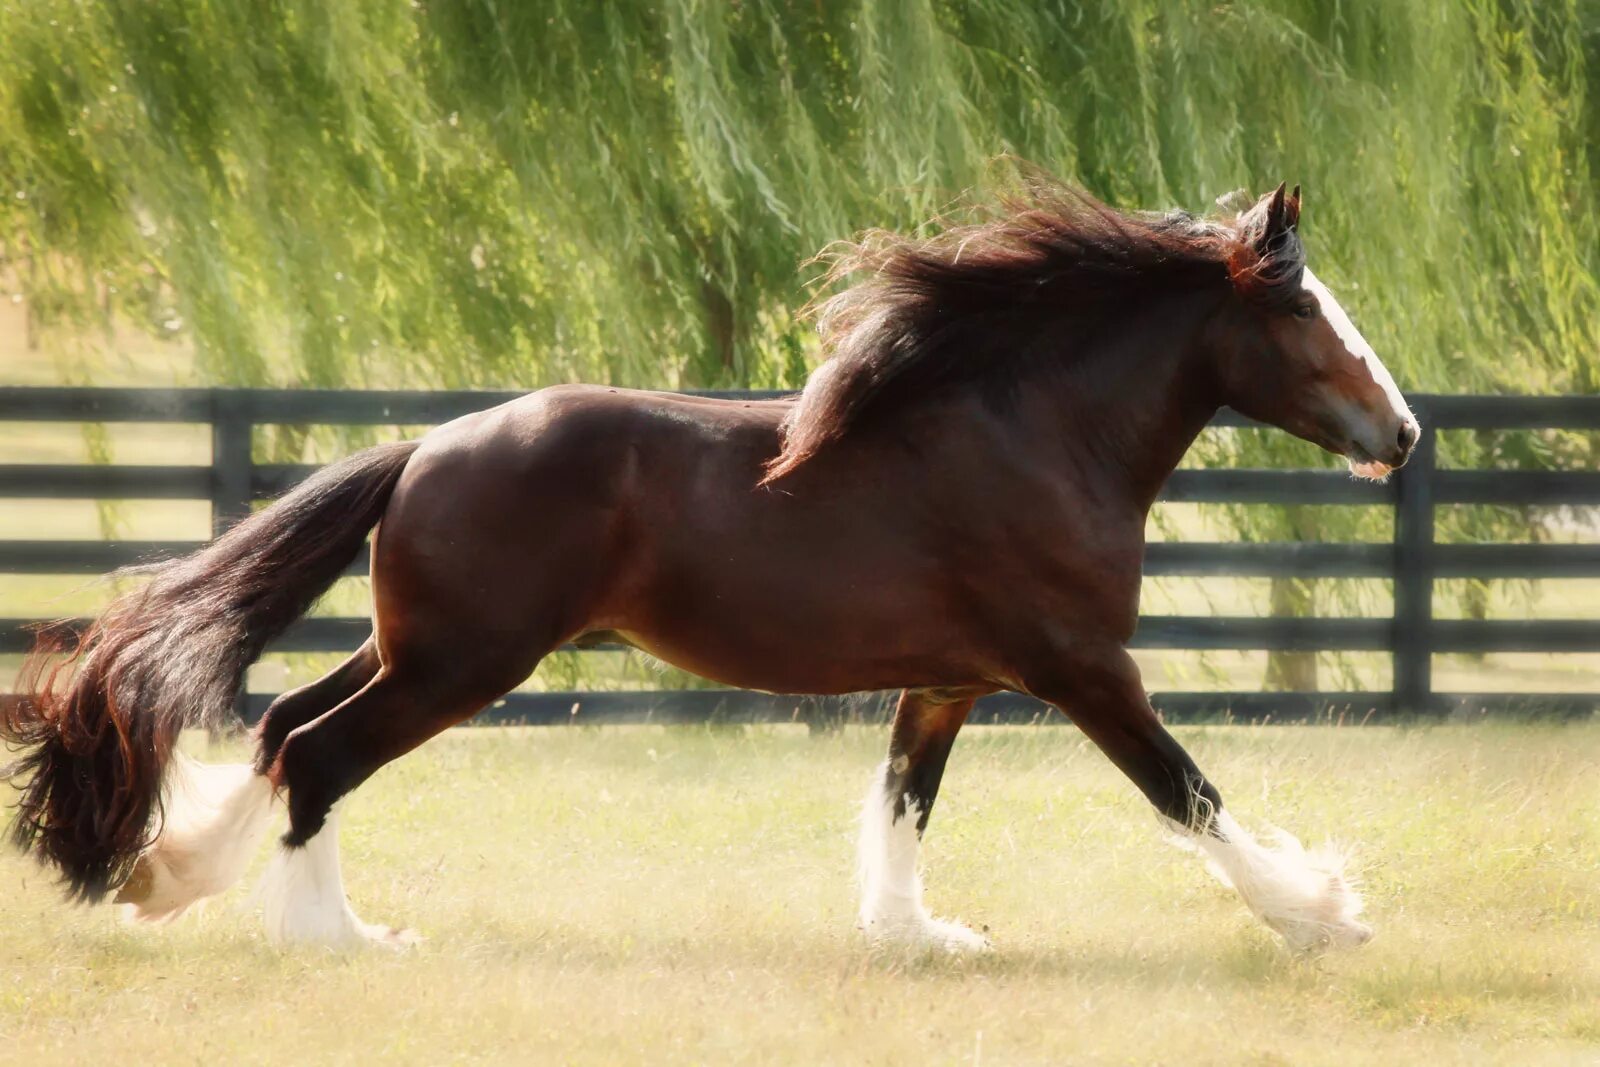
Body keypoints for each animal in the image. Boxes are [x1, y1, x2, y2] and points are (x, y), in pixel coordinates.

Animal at [9, 179, 1414, 953]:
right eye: (1301, 309)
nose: (1400, 433)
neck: (1030, 434)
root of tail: (424, 449)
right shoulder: (1082, 669)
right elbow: (1189, 791)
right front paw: (1323, 913)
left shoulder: (949, 681)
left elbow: (903, 802)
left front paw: (917, 935)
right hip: (463, 663)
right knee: (315, 752)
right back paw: (339, 936)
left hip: (413, 646)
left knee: (282, 722)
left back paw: (173, 875)